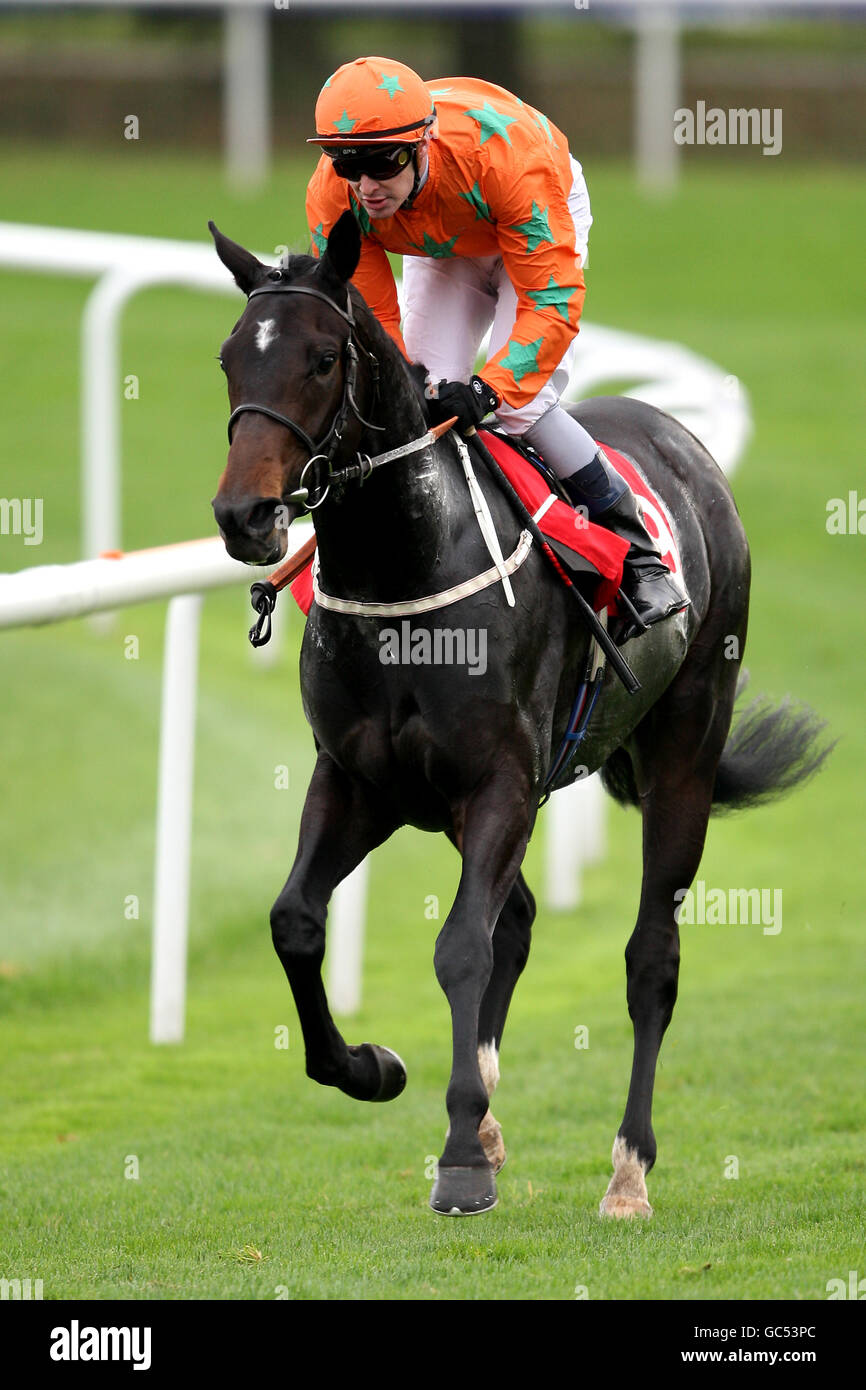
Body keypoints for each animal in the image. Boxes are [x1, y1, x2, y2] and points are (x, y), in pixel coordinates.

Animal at [208, 211, 828, 1217]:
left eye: (322, 359)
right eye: (230, 357)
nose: (244, 515)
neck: (408, 564)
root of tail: (682, 442)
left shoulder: (500, 776)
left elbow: (462, 945)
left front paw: (461, 1152)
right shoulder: (360, 780)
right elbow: (297, 920)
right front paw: (372, 1067)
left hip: (685, 750)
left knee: (651, 959)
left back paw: (628, 1171)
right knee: (523, 920)